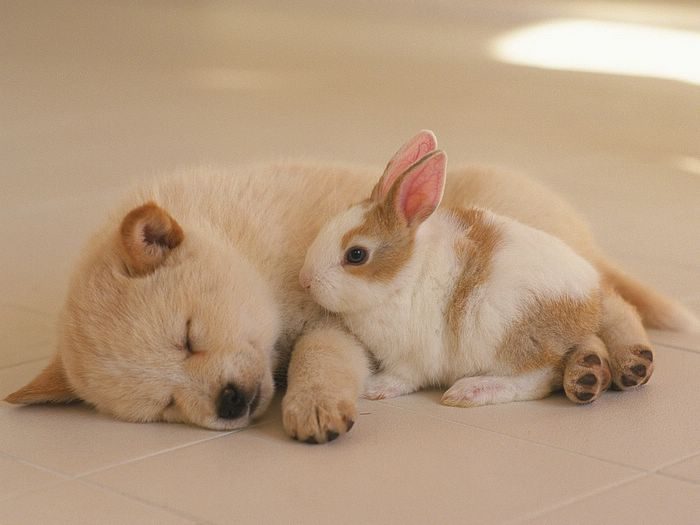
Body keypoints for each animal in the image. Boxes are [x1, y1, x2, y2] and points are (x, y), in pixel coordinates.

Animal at [300, 134, 639, 407]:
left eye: (356, 255)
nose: (306, 281)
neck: (403, 277)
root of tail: (590, 301)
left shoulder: (411, 358)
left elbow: (403, 378)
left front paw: (374, 388)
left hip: (507, 338)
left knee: (537, 380)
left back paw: (470, 391)